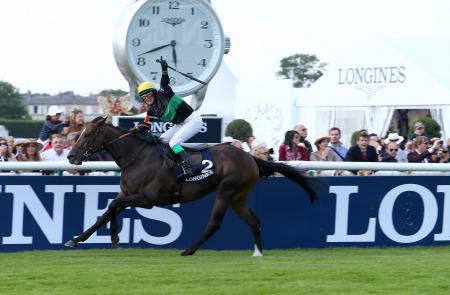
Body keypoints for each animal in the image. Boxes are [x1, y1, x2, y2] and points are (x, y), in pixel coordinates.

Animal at [67, 117, 320, 258]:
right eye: (79, 133)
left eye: (88, 134)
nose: (70, 156)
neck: (137, 156)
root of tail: (250, 157)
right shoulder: (129, 193)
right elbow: (107, 211)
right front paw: (78, 239)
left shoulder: (147, 199)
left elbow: (113, 205)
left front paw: (114, 236)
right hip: (239, 197)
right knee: (254, 221)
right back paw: (257, 252)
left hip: (226, 191)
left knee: (215, 223)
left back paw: (188, 250)